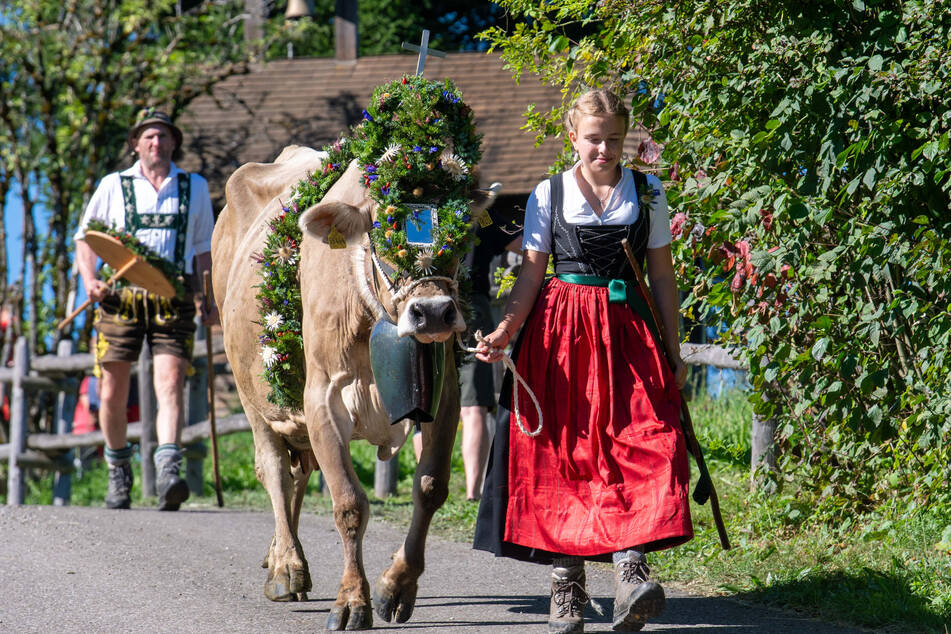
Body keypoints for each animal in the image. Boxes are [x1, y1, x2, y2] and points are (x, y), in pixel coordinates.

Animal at [214, 146, 498, 628]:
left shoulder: (443, 396)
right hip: (250, 390)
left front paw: (395, 587)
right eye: (383, 231)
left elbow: (430, 487)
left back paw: (280, 558)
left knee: (298, 473)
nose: (433, 313)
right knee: (274, 468)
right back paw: (287, 567)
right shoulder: (323, 398)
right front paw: (351, 601)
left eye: (461, 236)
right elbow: (349, 502)